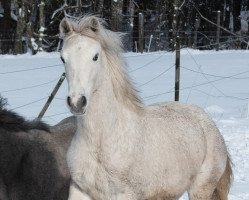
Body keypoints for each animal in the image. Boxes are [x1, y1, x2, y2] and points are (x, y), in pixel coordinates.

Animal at [59, 16, 232, 200]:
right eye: (63, 58)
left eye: (95, 56)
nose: (77, 102)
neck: (102, 144)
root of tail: (208, 121)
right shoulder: (80, 190)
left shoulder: (127, 195)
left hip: (201, 189)